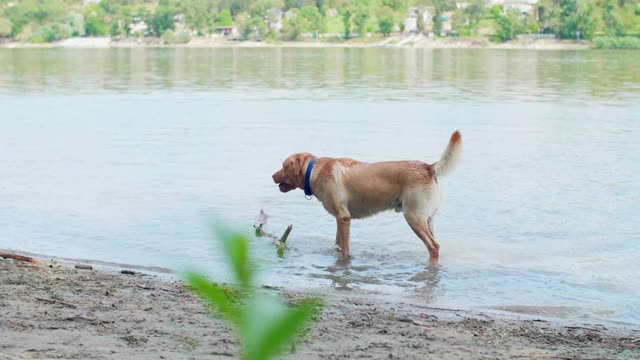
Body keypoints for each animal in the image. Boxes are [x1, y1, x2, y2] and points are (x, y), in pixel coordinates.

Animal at [272, 131, 462, 266]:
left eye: (284, 166)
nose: (272, 176)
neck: (313, 171)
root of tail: (429, 167)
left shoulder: (343, 217)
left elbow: (345, 250)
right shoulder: (341, 218)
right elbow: (338, 243)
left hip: (413, 217)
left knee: (434, 246)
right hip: (427, 219)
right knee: (434, 245)